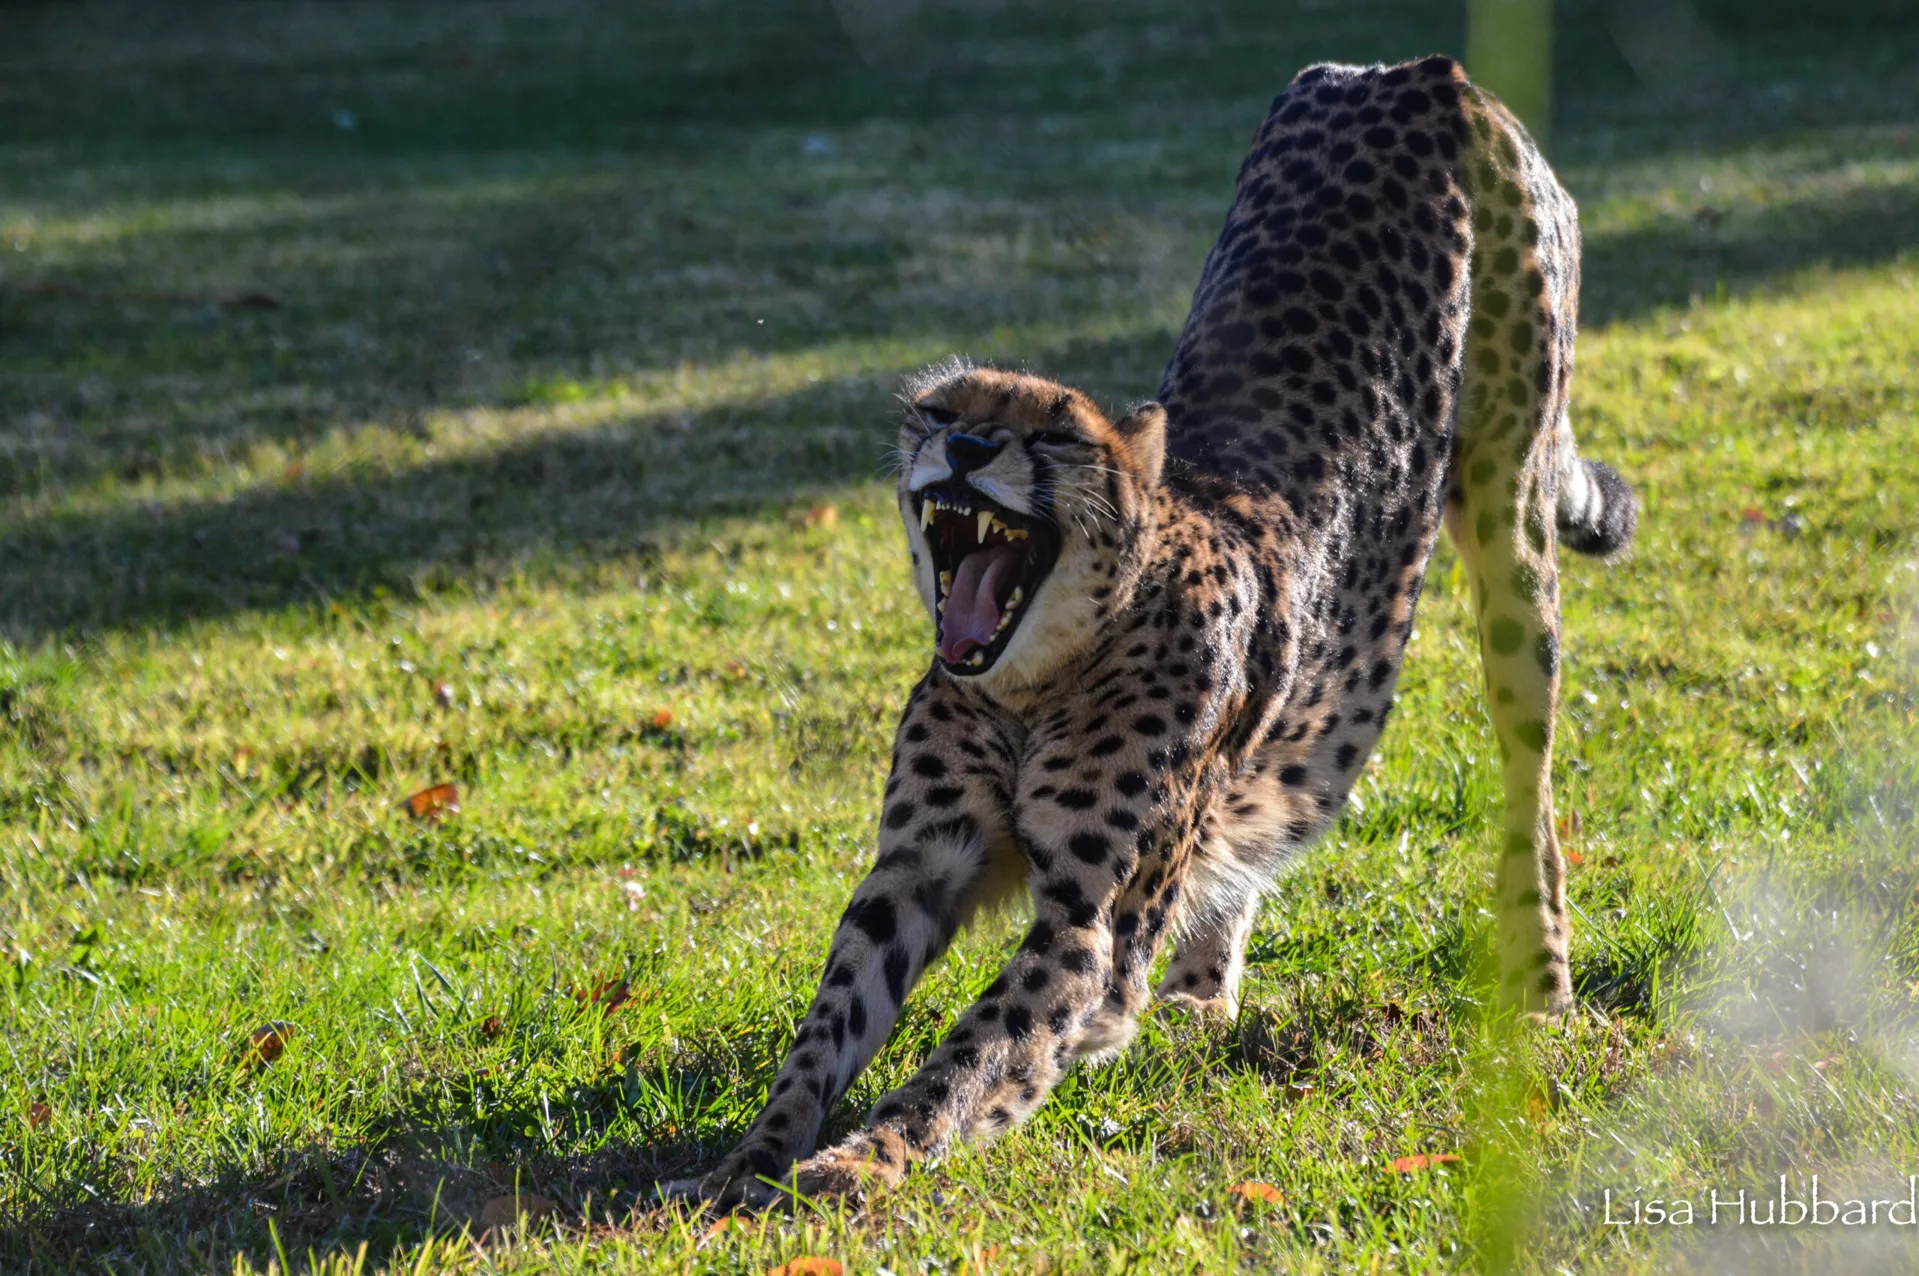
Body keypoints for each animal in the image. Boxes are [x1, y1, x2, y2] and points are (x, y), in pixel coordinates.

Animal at [663, 53, 1636, 1210]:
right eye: (940, 411)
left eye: (1053, 435)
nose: (967, 448)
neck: (1036, 678)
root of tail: (1409, 71)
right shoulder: (911, 867)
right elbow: (828, 1023)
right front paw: (746, 1158)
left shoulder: (1090, 923)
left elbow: (973, 1051)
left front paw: (865, 1160)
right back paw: (1199, 1000)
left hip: (1506, 521)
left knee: (1529, 784)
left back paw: (1541, 983)